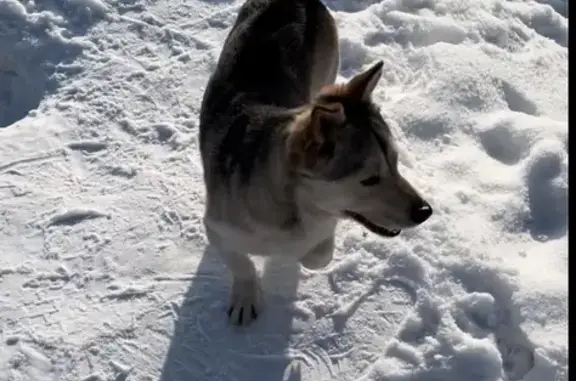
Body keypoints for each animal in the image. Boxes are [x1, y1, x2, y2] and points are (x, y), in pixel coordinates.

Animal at [198, 0, 432, 326]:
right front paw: (245, 296)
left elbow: (318, 256)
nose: (425, 212)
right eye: (370, 179)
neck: (296, 205)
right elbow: (241, 264)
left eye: (396, 164)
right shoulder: (217, 229)